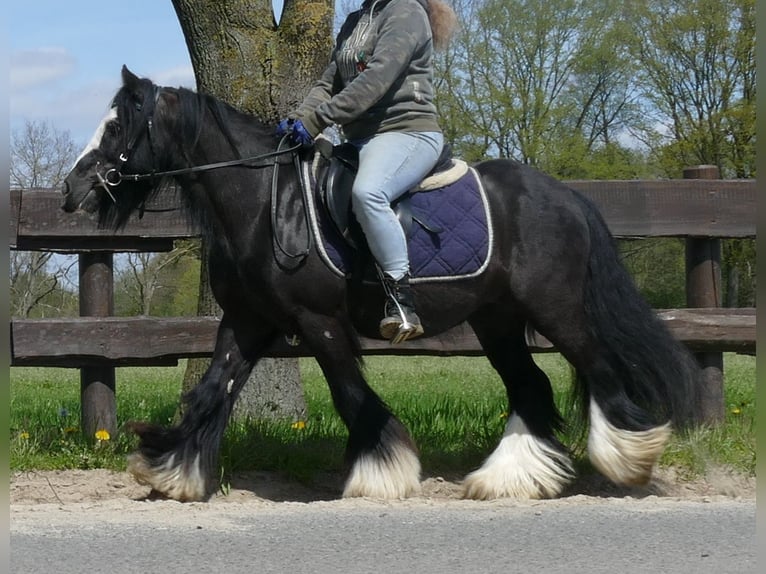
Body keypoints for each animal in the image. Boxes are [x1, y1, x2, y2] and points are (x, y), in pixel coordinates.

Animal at [61, 65, 704, 502]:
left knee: (600, 369)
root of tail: (566, 196)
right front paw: (171, 469)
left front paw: (382, 472)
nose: (73, 190)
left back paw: (627, 459)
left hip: (556, 310)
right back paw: (508, 478)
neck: (266, 203)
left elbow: (350, 394)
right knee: (531, 386)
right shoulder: (247, 321)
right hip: (497, 319)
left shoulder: (317, 322)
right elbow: (212, 389)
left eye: (117, 125)